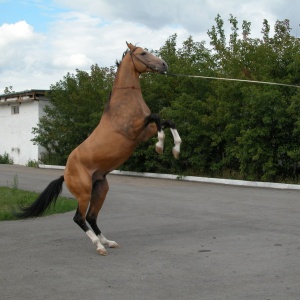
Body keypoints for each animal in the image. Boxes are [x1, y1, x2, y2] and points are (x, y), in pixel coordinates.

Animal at [16, 42, 182, 255]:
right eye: (143, 53)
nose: (164, 65)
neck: (124, 103)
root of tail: (65, 174)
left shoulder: (145, 131)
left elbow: (167, 121)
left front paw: (176, 149)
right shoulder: (135, 130)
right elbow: (157, 117)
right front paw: (160, 146)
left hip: (100, 189)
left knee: (91, 217)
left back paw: (108, 242)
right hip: (84, 193)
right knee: (79, 218)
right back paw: (99, 246)